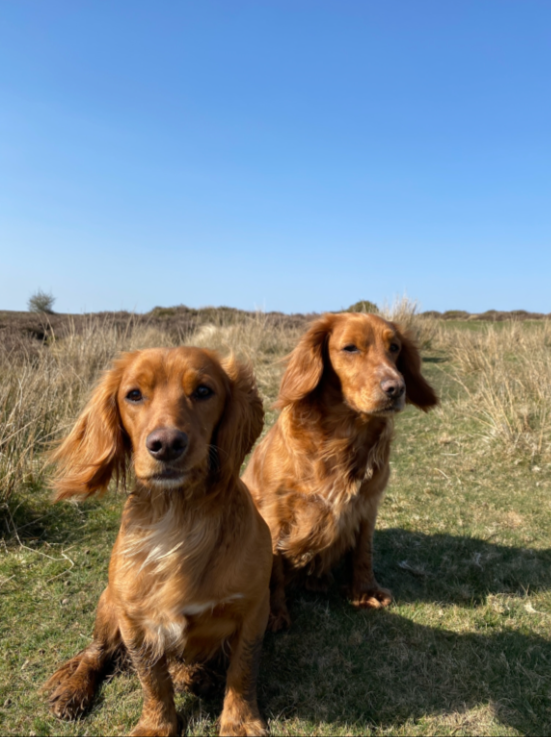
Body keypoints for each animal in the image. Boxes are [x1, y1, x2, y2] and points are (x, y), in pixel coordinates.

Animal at [44, 347, 272, 736]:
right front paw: (156, 725)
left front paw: (240, 721)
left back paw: (192, 674)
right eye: (134, 395)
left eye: (203, 391)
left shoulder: (253, 609)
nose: (166, 444)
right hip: (108, 603)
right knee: (94, 653)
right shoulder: (134, 620)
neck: (178, 517)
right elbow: (152, 678)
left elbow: (242, 671)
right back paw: (73, 690)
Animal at [242, 312, 438, 631]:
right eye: (350, 348)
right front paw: (272, 614)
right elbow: (273, 572)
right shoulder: (275, 513)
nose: (397, 388)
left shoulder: (367, 505)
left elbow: (363, 551)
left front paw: (365, 592)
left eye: (394, 347)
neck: (343, 434)